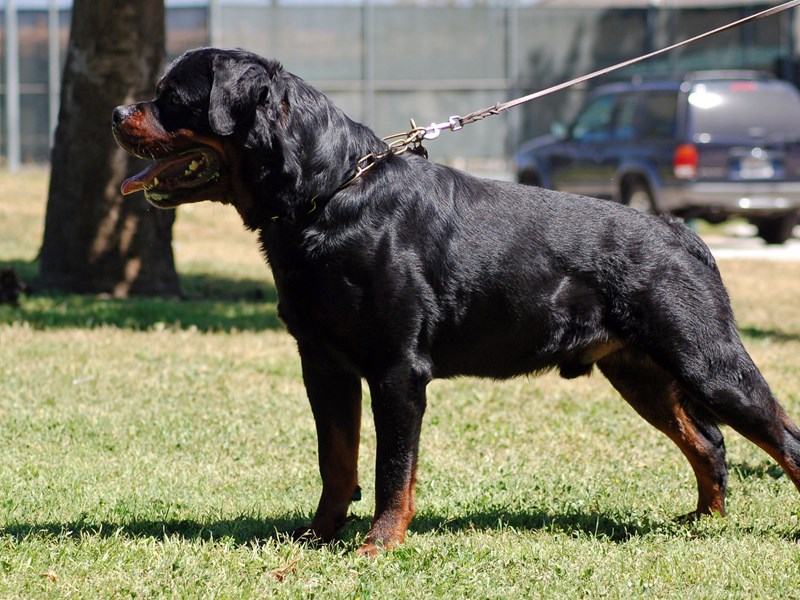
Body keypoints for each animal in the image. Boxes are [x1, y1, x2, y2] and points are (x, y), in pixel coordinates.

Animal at [112, 47, 800, 555]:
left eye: (171, 96)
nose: (118, 111)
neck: (326, 194)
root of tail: (683, 233)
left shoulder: (397, 371)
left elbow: (392, 468)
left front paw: (379, 545)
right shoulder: (323, 364)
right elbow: (335, 459)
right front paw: (316, 536)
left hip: (709, 361)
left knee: (781, 440)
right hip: (640, 372)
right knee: (709, 442)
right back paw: (701, 522)